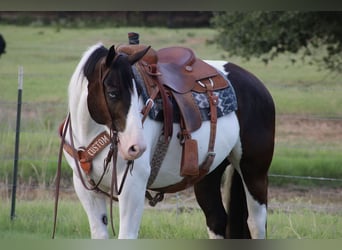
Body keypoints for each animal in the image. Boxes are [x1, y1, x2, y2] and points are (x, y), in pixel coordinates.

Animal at [56, 42, 276, 239]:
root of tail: (257, 85)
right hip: (208, 175)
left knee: (256, 223)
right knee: (217, 220)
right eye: (112, 93)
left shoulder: (132, 186)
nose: (136, 147)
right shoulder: (85, 187)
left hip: (253, 172)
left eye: (139, 95)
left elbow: (127, 235)